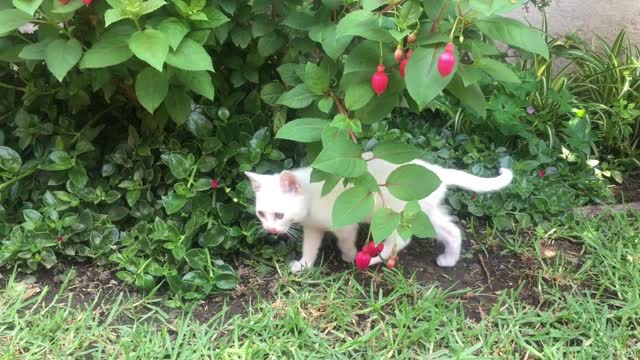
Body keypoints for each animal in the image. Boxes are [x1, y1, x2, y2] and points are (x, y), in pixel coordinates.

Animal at [242, 152, 512, 272]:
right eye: (261, 214)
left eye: (278, 215)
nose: (270, 230)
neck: (311, 195)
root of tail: (437, 171)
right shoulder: (313, 227)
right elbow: (310, 246)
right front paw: (304, 264)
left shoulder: (345, 223)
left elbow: (346, 242)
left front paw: (350, 256)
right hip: (425, 215)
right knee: (452, 231)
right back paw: (449, 260)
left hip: (397, 215)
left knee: (400, 241)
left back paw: (372, 259)